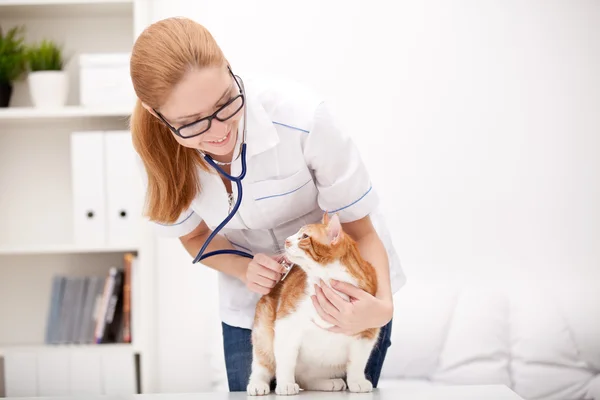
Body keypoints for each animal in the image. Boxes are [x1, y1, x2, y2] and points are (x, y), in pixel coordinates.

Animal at [245, 211, 378, 396]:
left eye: (305, 236)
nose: (286, 240)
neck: (328, 282)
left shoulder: (366, 330)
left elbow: (358, 362)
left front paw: (357, 381)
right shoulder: (286, 324)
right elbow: (285, 360)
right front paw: (285, 383)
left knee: (306, 380)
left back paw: (327, 383)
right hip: (263, 332)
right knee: (263, 363)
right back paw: (258, 383)